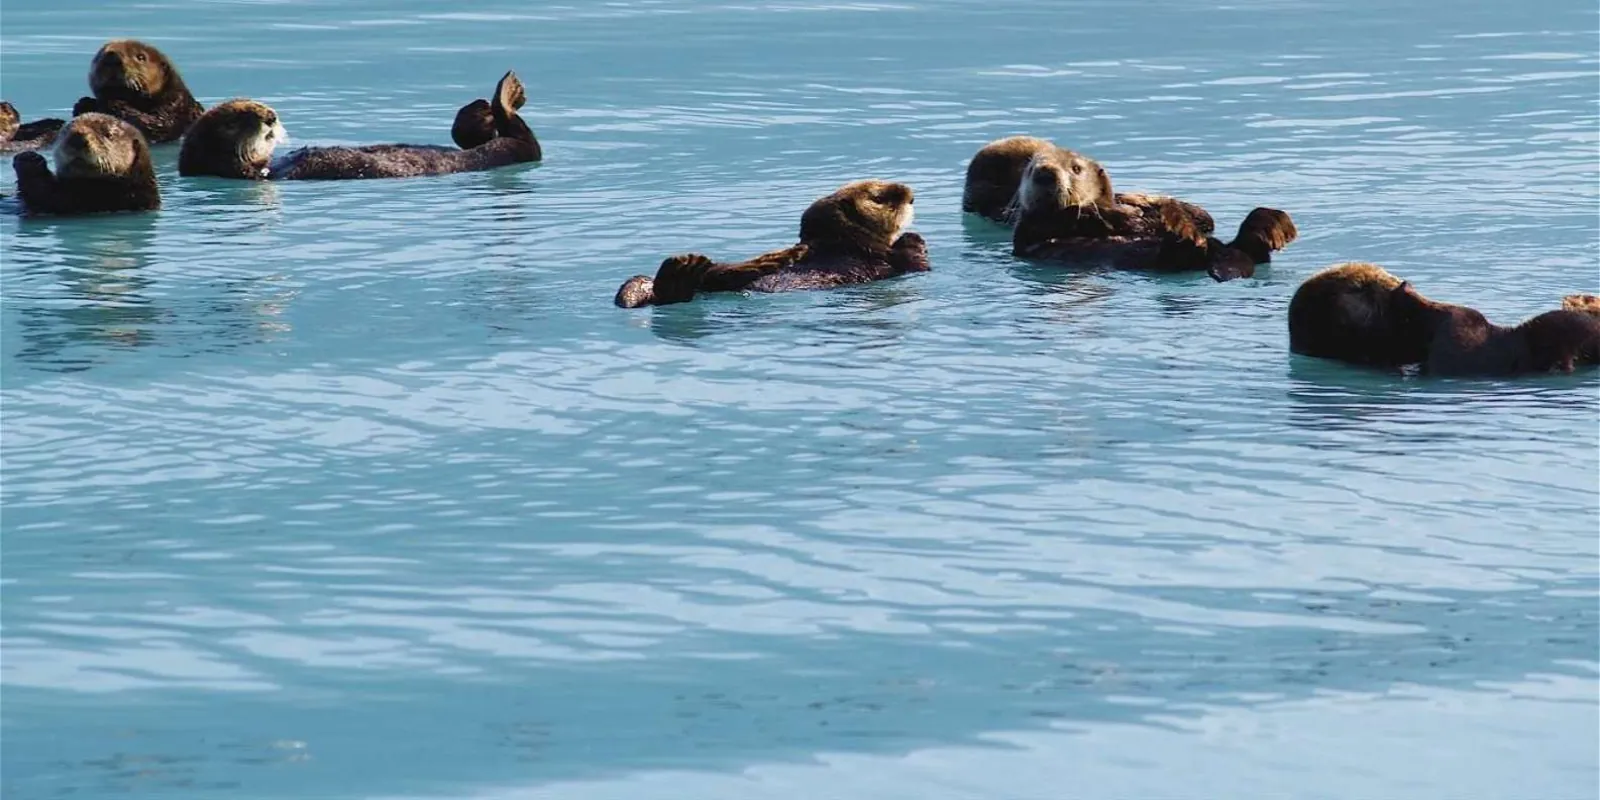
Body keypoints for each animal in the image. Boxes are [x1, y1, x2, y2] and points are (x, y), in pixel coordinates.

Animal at [71, 40, 205, 144]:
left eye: (141, 57)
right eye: (99, 55)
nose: (111, 56)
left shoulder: (175, 107)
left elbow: (155, 125)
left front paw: (110, 100)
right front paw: (85, 103)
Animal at [178, 71, 540, 180]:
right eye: (236, 119)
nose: (270, 115)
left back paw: (480, 110)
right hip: (510, 150)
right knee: (522, 139)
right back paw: (507, 94)